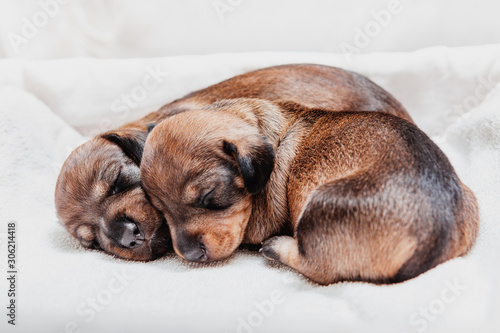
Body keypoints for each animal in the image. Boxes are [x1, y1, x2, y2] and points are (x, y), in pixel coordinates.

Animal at [140, 98, 480, 282]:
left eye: (211, 197)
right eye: (159, 208)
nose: (189, 255)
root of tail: (433, 237)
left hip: (318, 208)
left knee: (319, 268)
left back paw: (277, 247)